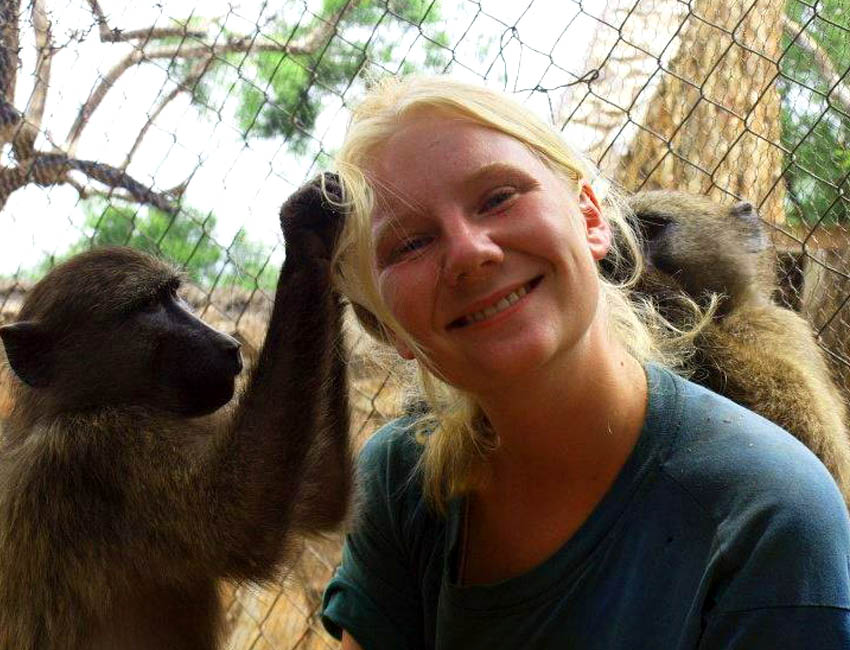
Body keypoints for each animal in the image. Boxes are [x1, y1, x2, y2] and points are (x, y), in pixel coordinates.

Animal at [0, 173, 351, 650]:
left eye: (174, 295)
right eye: (148, 304)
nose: (228, 345)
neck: (76, 405)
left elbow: (321, 493)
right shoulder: (98, 453)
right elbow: (240, 522)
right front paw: (308, 230)